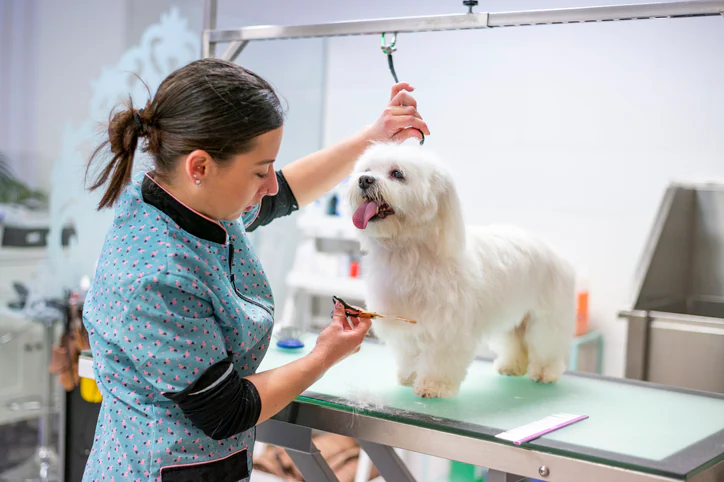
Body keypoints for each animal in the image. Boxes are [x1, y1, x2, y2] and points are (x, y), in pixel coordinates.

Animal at [346, 142, 576, 400]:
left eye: (397, 173)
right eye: (367, 169)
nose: (364, 180)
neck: (412, 254)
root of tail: (556, 252)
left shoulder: (447, 328)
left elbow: (440, 359)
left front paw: (433, 386)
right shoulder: (406, 324)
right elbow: (410, 353)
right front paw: (409, 376)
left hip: (547, 318)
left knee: (547, 344)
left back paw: (546, 372)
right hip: (515, 315)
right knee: (515, 342)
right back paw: (512, 366)